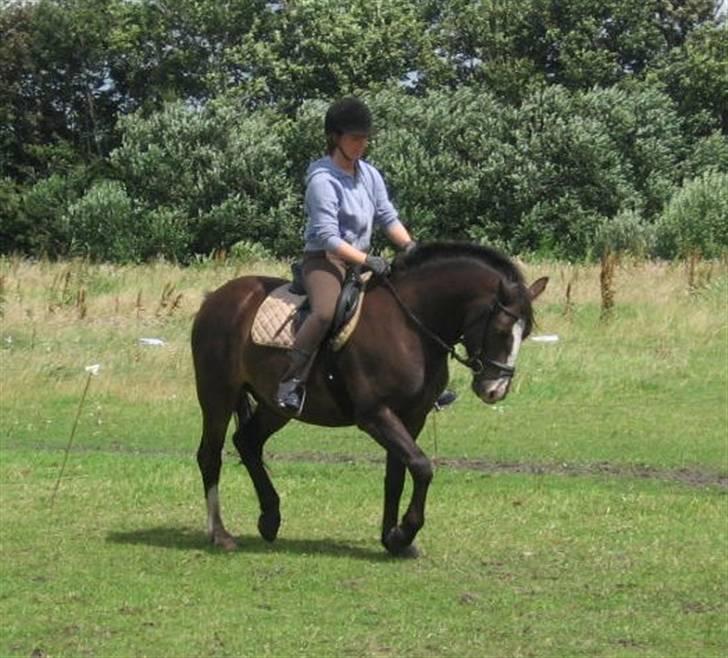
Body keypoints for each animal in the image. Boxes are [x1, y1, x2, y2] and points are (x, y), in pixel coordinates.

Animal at [192, 241, 544, 552]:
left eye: (525, 333)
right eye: (501, 330)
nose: (495, 390)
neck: (409, 326)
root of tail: (217, 298)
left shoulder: (411, 417)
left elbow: (397, 473)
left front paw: (393, 539)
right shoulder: (376, 415)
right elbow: (421, 466)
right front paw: (404, 533)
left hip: (274, 407)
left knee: (248, 442)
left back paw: (270, 518)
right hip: (217, 395)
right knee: (210, 456)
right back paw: (220, 533)